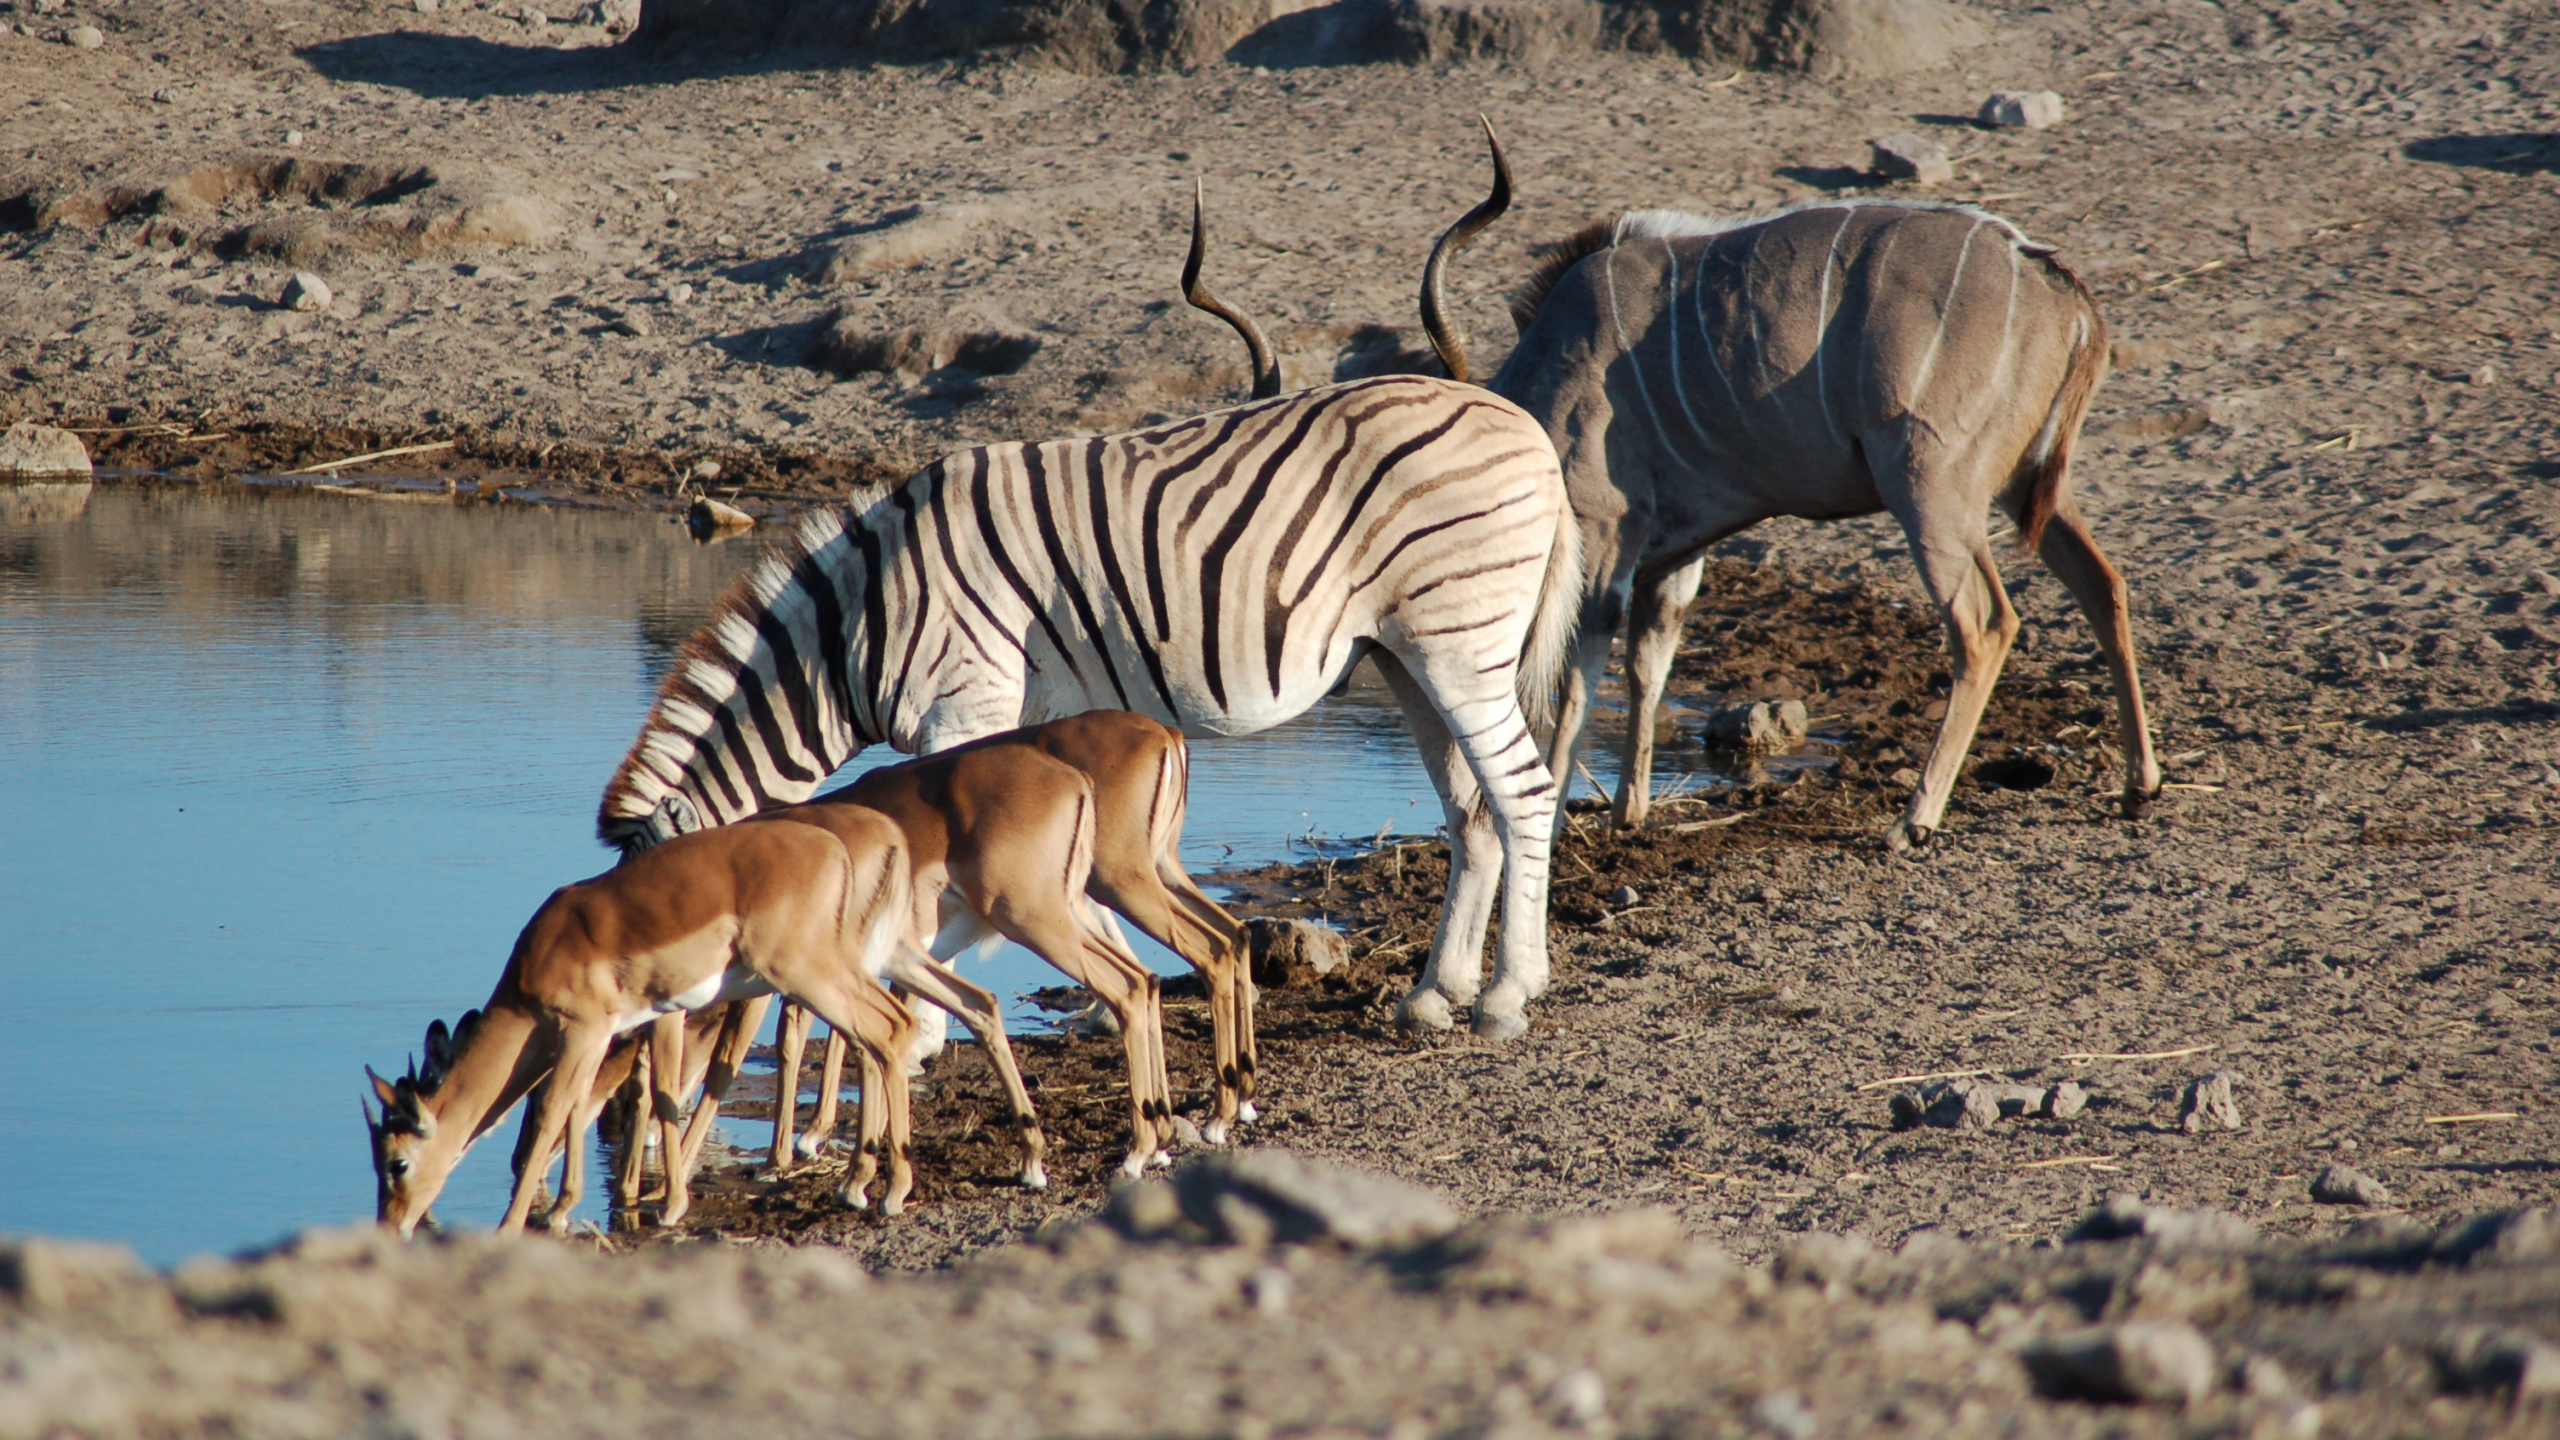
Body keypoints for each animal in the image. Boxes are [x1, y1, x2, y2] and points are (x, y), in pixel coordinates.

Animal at [604, 193, 1576, 1040]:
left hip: (1459, 643)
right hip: (1405, 653)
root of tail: (1521, 424)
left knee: (1522, 794)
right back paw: (1436, 994)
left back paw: (1508, 997)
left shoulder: (967, 707)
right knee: (1472, 809)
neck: (859, 627)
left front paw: (926, 1035)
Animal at [1423, 165, 2160, 850]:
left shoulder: (1606, 534)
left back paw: (1913, 821)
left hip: (1929, 491)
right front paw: (1627, 812)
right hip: (2026, 486)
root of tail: (2048, 279)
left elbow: (1578, 675)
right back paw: (2138, 786)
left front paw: (1551, 824)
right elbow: (1647, 666)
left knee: (1985, 626)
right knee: (2104, 585)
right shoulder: (1675, 553)